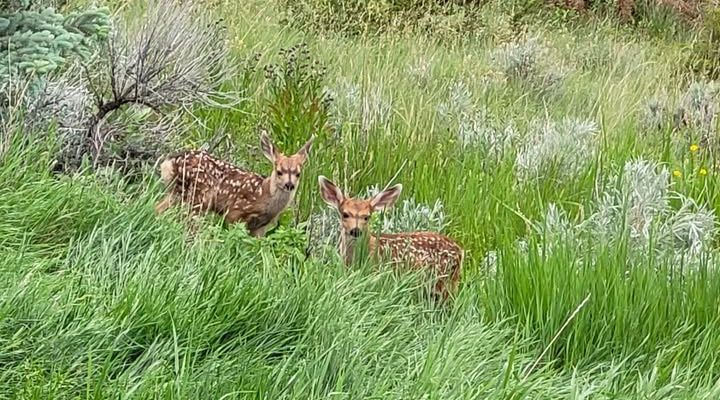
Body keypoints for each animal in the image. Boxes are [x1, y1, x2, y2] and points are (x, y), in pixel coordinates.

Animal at [155, 131, 314, 237]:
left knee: (158, 208)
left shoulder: (260, 227)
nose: (289, 185)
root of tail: (168, 162)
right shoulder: (235, 212)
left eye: (298, 174)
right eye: (279, 171)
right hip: (197, 196)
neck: (265, 195)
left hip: (177, 193)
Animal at [318, 176, 463, 301]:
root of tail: (460, 251)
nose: (356, 231)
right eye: (345, 214)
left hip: (446, 280)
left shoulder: (376, 274)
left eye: (367, 217)